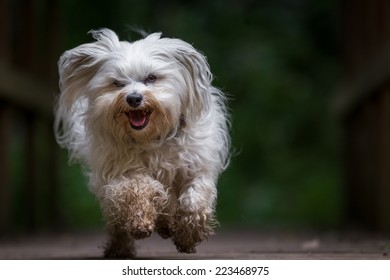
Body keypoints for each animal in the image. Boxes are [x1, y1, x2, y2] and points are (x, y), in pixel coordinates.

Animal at [53, 29, 230, 258]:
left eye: (151, 78)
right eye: (117, 83)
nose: (134, 98)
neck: (151, 138)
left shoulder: (196, 167)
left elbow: (194, 199)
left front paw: (189, 234)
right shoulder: (122, 174)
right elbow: (137, 188)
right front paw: (140, 222)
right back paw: (121, 247)